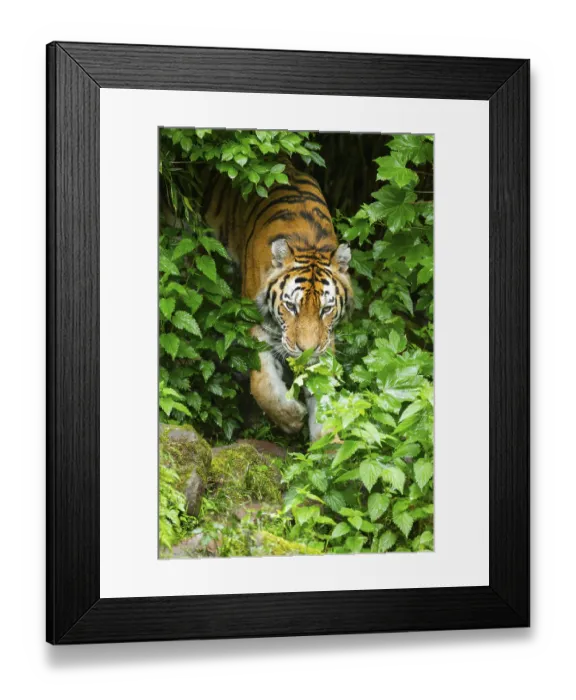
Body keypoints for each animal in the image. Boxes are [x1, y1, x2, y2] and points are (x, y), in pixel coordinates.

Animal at [203, 162, 352, 441]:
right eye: (291, 307)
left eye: (326, 309)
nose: (306, 351)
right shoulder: (257, 325)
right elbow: (264, 384)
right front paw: (292, 418)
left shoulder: (326, 340)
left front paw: (330, 441)